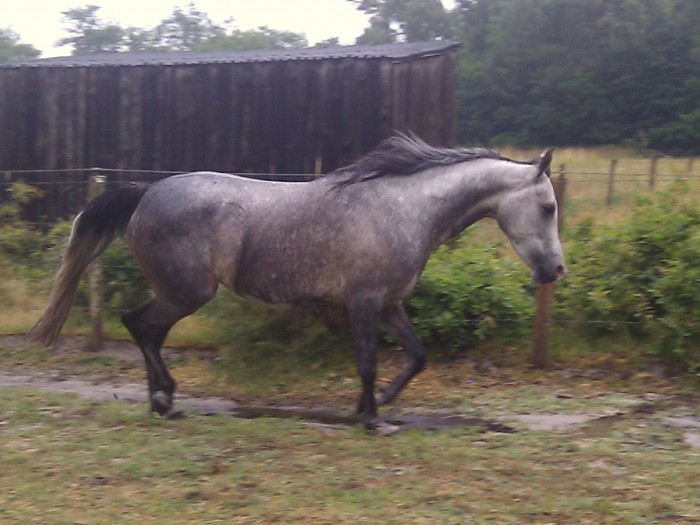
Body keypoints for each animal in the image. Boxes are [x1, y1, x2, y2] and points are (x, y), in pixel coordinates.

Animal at [29, 134, 565, 428]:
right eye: (547, 206)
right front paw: (371, 418)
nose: (555, 271)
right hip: (187, 292)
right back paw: (163, 397)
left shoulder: (389, 303)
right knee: (139, 325)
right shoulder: (364, 302)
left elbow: (416, 356)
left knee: (147, 330)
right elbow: (367, 363)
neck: (403, 209)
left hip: (179, 293)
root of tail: (145, 192)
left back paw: (161, 400)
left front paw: (379, 403)